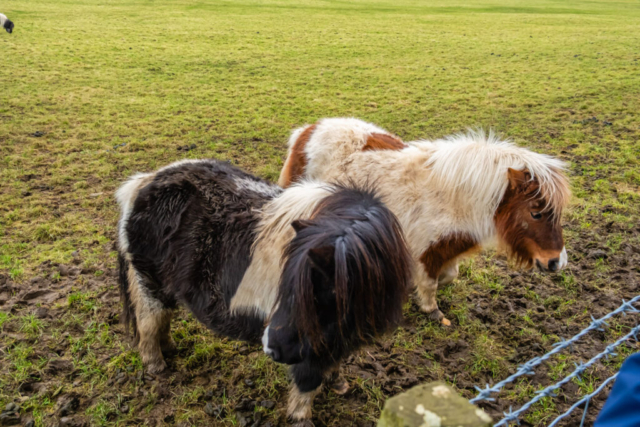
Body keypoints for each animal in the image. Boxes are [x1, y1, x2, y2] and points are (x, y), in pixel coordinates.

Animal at [117, 160, 412, 424]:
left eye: (319, 294)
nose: (270, 348)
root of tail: (143, 183)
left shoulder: (334, 340)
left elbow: (333, 364)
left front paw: (339, 384)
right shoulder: (309, 349)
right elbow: (307, 382)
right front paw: (301, 418)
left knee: (162, 320)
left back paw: (170, 348)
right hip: (150, 285)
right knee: (149, 323)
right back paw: (156, 366)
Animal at [278, 118, 568, 326]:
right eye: (536, 213)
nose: (557, 262)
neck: (454, 196)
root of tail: (307, 131)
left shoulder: (447, 245)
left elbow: (449, 275)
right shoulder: (427, 249)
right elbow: (430, 284)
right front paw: (433, 312)